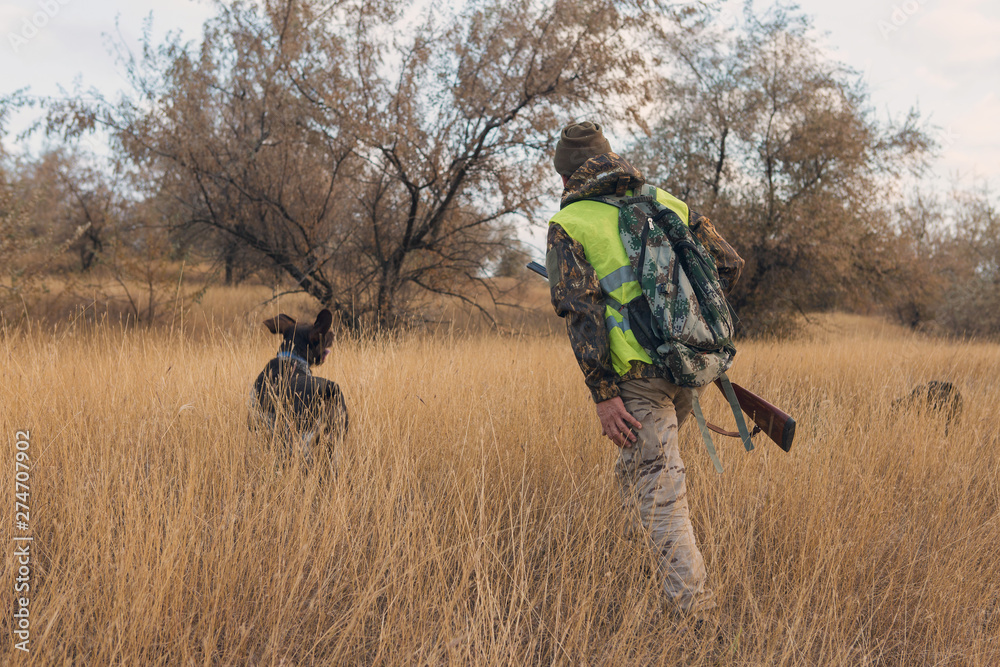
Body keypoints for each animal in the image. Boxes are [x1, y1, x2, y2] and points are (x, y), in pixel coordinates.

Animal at [248, 310, 350, 462]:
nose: (333, 334)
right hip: (333, 443)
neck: (292, 357)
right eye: (325, 335)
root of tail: (328, 388)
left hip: (302, 442)